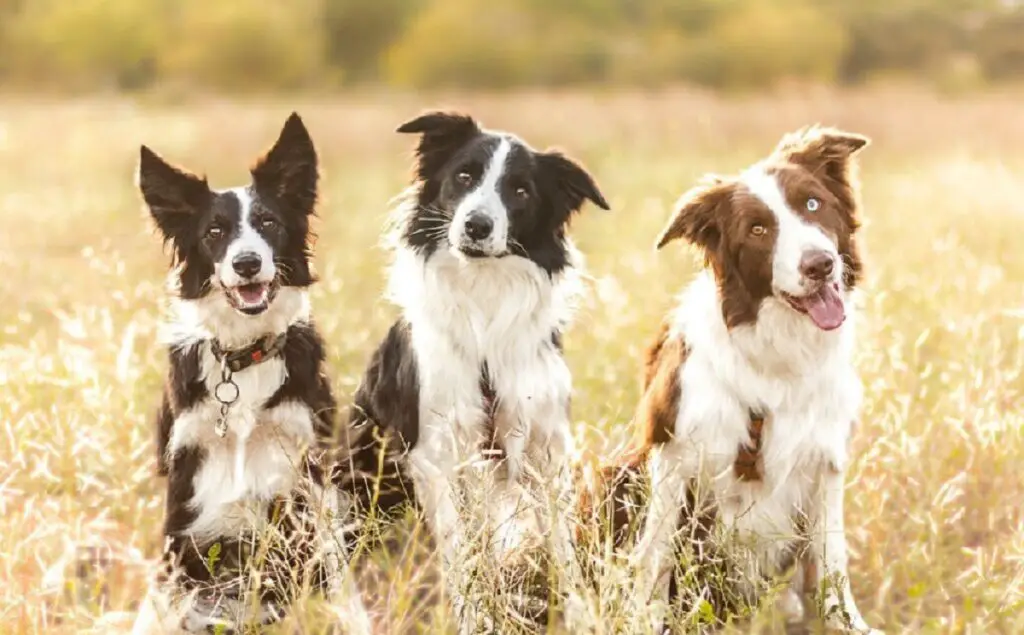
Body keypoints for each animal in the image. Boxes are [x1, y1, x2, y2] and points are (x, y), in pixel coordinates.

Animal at [132, 111, 372, 630]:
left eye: (268, 223)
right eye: (214, 232)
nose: (246, 263)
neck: (243, 357)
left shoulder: (308, 476)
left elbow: (337, 580)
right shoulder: (186, 491)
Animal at [348, 111, 606, 626]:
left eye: (521, 191)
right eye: (464, 176)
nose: (477, 225)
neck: (484, 298)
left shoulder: (546, 448)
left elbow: (565, 551)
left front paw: (581, 616)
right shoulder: (437, 455)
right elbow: (459, 556)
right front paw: (473, 619)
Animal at [606, 126, 880, 630]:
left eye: (813, 204)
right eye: (758, 230)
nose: (820, 265)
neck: (777, 361)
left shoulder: (825, 459)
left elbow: (833, 560)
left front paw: (845, 624)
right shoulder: (673, 454)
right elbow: (655, 559)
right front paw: (645, 621)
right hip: (617, 471)